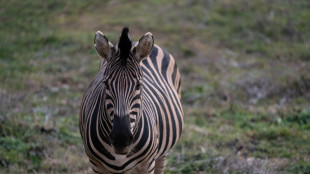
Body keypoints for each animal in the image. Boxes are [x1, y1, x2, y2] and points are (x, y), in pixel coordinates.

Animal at [80, 27, 184, 173]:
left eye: (139, 85)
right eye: (105, 84)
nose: (121, 139)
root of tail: (134, 42)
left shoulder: (147, 164)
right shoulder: (96, 165)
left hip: (162, 151)